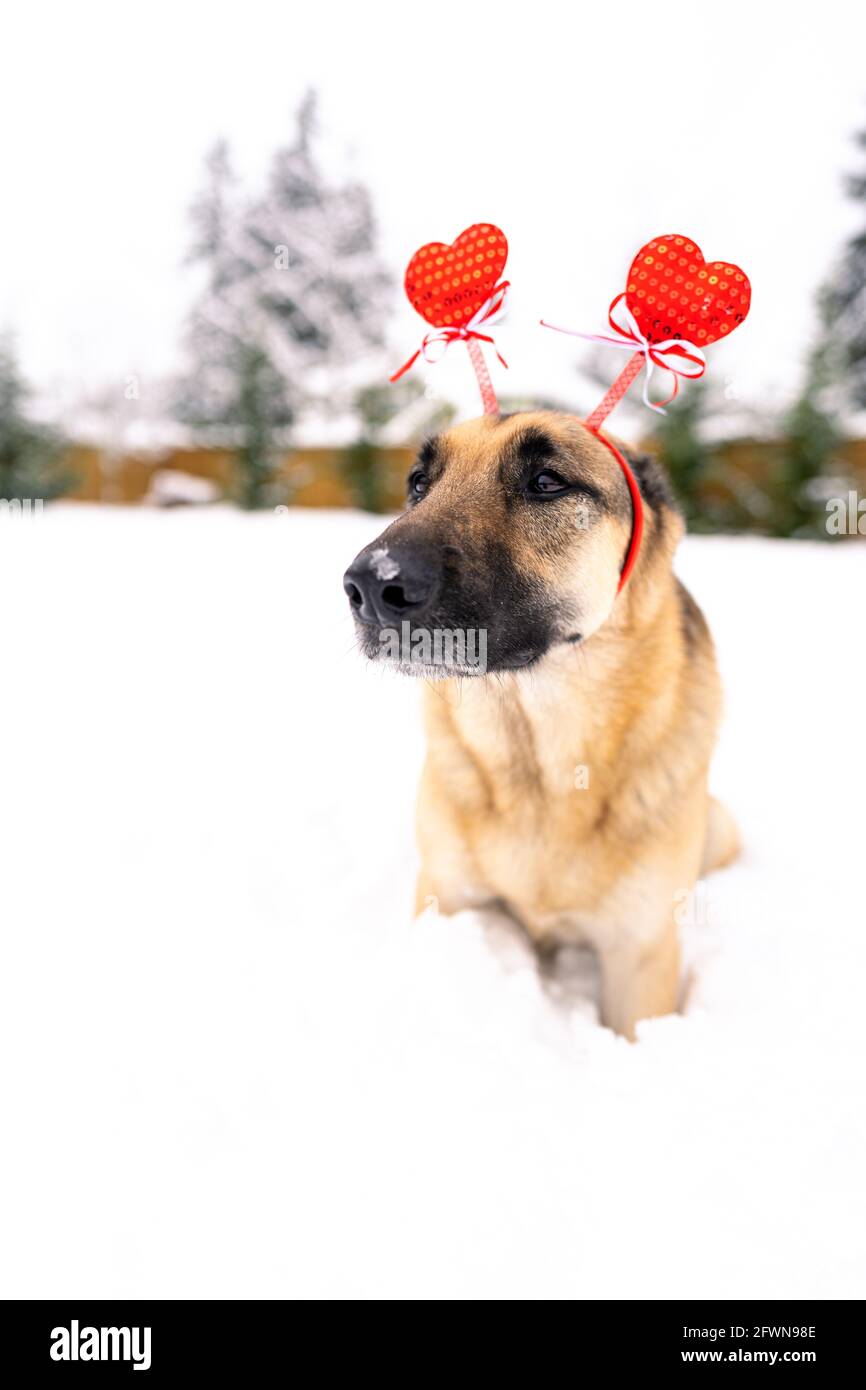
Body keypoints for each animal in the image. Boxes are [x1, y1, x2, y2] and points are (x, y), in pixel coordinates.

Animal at [346, 405, 739, 1039]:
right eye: (419, 483)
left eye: (547, 482)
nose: (371, 586)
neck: (541, 762)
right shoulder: (448, 897)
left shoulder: (640, 958)